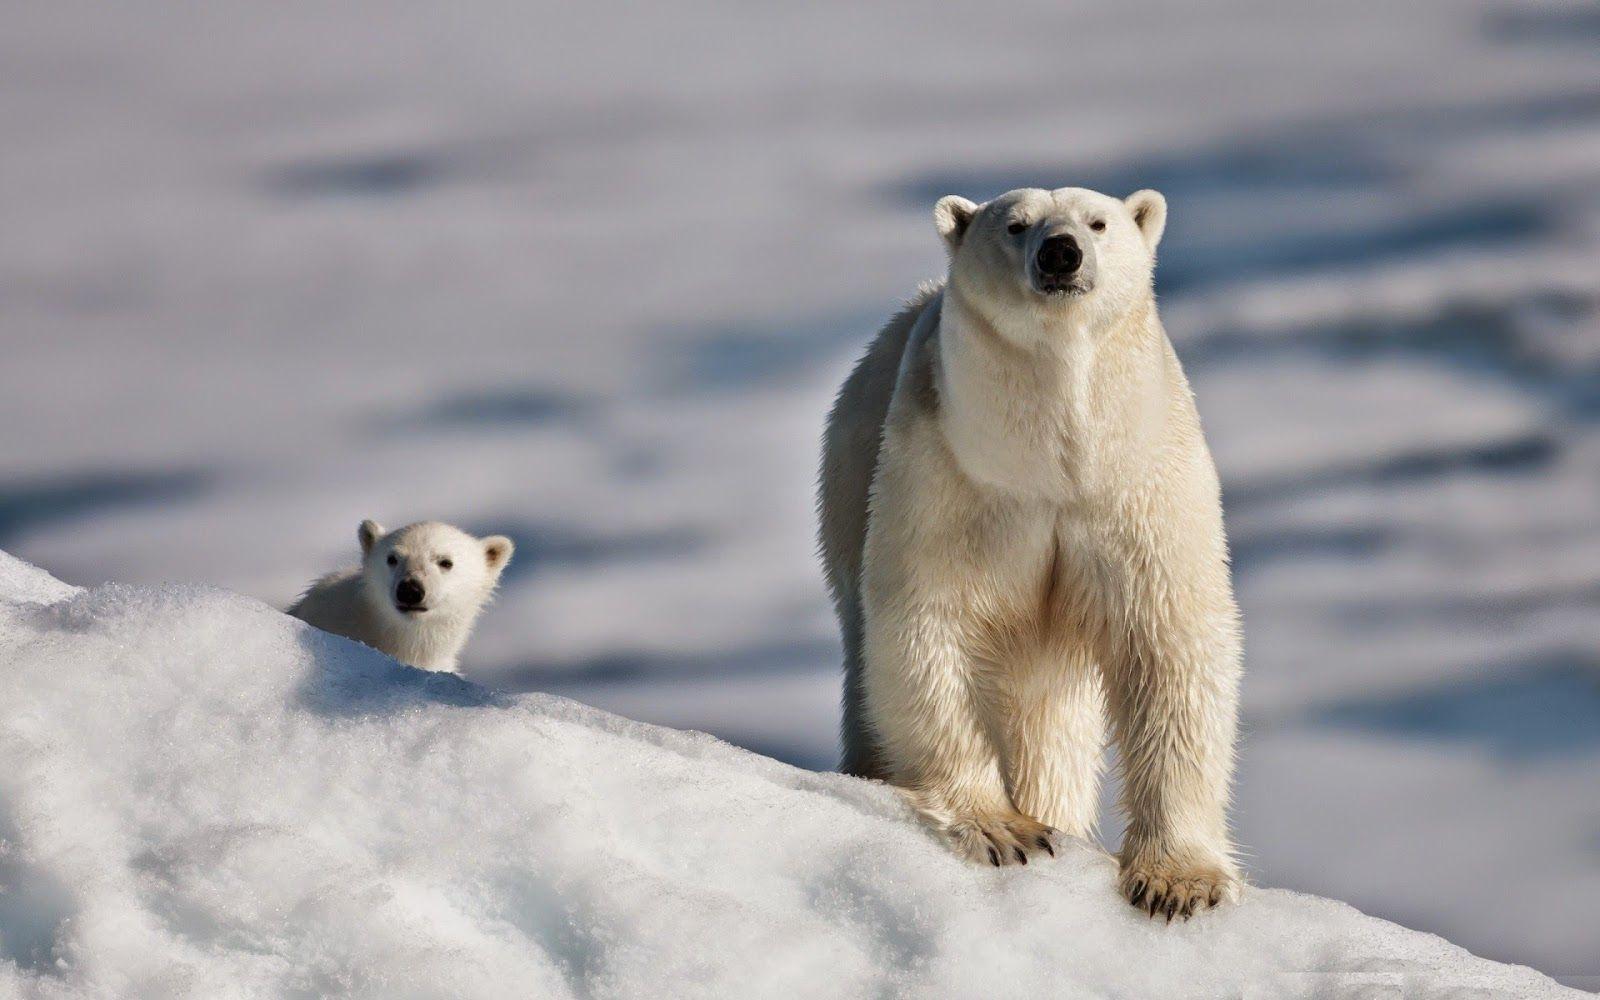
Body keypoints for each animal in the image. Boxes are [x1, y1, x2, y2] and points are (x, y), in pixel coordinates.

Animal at [818, 186, 1242, 919]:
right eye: (1015, 226)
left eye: (1098, 222)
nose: (1061, 253)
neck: (1053, 462)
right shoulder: (951, 476)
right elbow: (928, 627)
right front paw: (1002, 829)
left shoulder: (1137, 483)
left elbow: (1170, 645)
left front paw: (1177, 882)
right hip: (849, 479)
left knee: (1049, 720)